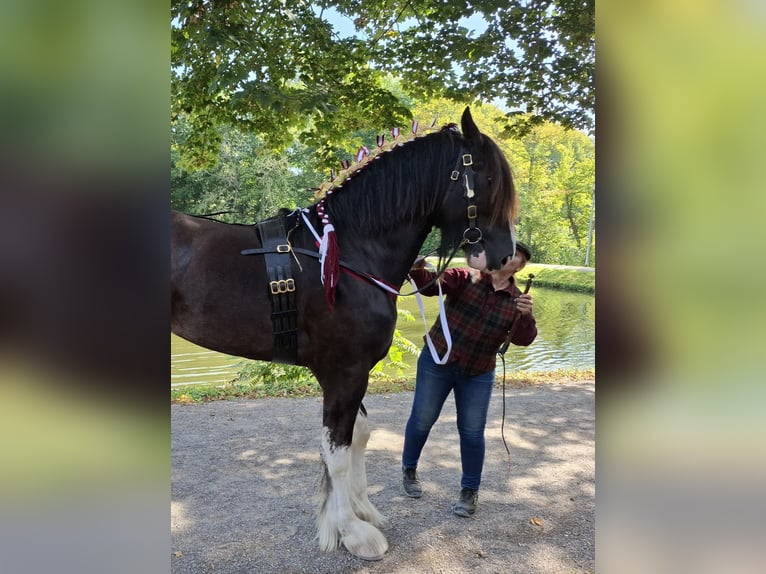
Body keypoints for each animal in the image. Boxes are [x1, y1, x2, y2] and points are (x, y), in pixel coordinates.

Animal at [171, 107, 519, 560]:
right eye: (489, 178)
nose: (505, 258)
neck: (351, 251)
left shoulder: (355, 371)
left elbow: (359, 437)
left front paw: (361, 509)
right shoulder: (343, 372)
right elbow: (335, 451)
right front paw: (352, 533)